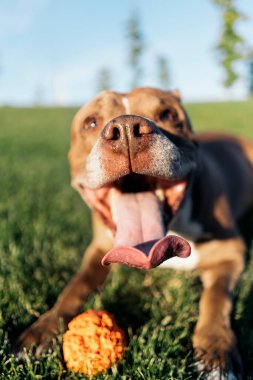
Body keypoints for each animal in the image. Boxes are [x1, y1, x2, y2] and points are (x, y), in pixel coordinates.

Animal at [15, 88, 253, 378]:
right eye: (90, 122)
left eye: (168, 114)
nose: (127, 128)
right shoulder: (98, 249)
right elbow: (75, 286)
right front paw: (42, 330)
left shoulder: (230, 252)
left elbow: (216, 297)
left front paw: (216, 351)